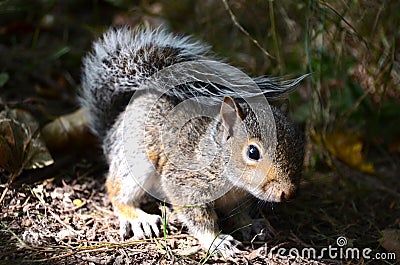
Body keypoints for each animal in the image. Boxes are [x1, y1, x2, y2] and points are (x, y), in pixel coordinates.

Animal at [81, 26, 306, 256]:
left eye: (300, 143)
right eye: (253, 152)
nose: (289, 193)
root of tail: (111, 129)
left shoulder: (237, 199)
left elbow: (239, 214)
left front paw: (251, 223)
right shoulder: (184, 184)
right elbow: (199, 218)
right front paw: (217, 241)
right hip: (137, 161)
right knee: (116, 191)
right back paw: (138, 218)